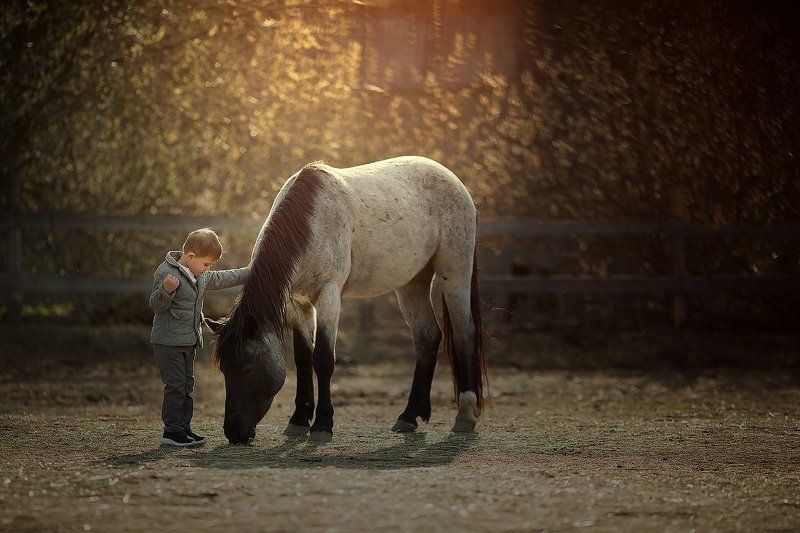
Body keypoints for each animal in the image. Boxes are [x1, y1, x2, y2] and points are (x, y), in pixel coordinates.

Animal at [208, 156, 488, 444]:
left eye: (248, 367)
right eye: (225, 369)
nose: (234, 432)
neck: (311, 221)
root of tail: (454, 182)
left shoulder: (329, 295)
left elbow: (322, 359)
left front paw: (322, 425)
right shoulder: (298, 303)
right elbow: (303, 359)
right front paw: (298, 421)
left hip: (455, 270)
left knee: (464, 334)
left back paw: (465, 415)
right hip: (412, 283)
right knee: (427, 337)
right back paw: (410, 416)